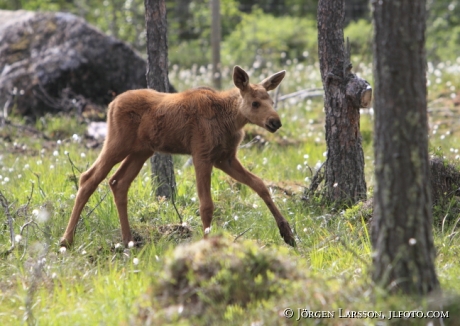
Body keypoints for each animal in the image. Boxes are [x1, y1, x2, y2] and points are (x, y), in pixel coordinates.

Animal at [60, 65, 294, 247]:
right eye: (255, 103)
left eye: (272, 102)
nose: (275, 122)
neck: (230, 120)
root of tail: (111, 104)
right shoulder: (202, 154)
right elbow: (206, 206)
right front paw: (207, 245)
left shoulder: (225, 158)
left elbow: (260, 185)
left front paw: (287, 232)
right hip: (118, 143)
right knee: (88, 178)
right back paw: (67, 240)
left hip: (141, 151)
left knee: (118, 182)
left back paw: (128, 240)